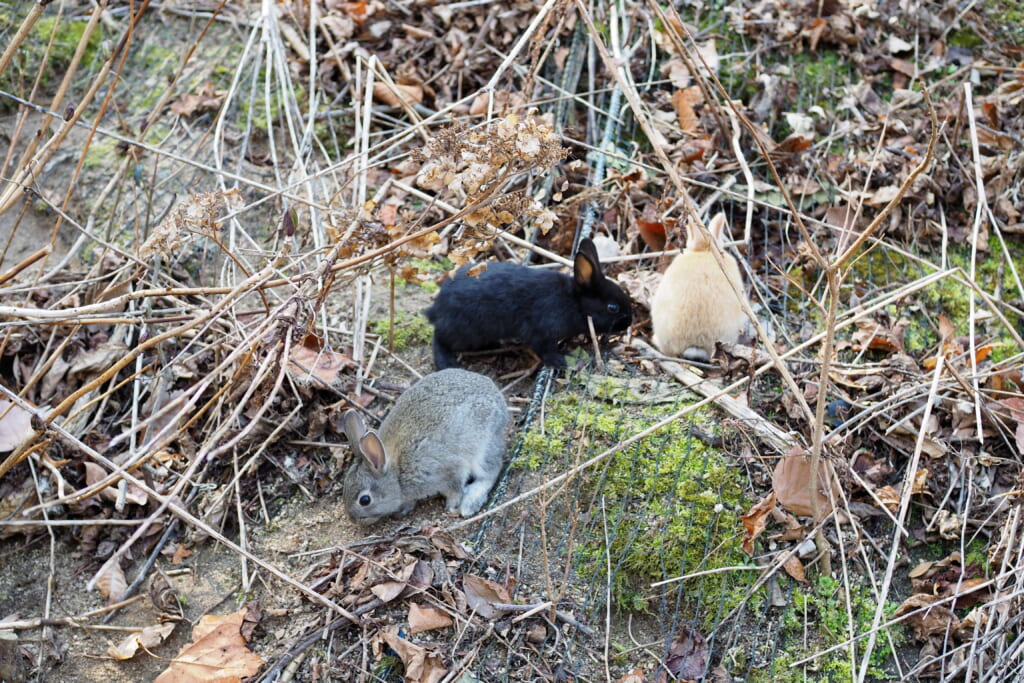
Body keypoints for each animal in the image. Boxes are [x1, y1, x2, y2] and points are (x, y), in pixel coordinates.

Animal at [342, 368, 509, 524]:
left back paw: (470, 501)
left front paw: (452, 507)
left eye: (365, 500)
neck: (397, 475)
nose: (353, 519)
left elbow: (455, 489)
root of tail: (499, 398)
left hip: (482, 447)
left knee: (491, 472)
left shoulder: (450, 470)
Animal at [423, 239, 630, 368]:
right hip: (465, 330)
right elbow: (545, 349)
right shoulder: (541, 332)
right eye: (613, 308)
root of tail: (437, 308)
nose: (629, 322)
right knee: (439, 338)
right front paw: (561, 360)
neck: (573, 301)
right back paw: (446, 362)